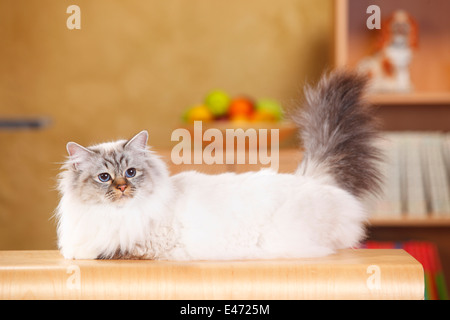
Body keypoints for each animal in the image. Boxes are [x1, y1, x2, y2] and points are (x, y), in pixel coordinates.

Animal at [54, 70, 382, 260]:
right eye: (104, 177)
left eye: (131, 173)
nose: (122, 188)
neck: (117, 216)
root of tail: (313, 179)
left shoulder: (140, 246)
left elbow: (96, 252)